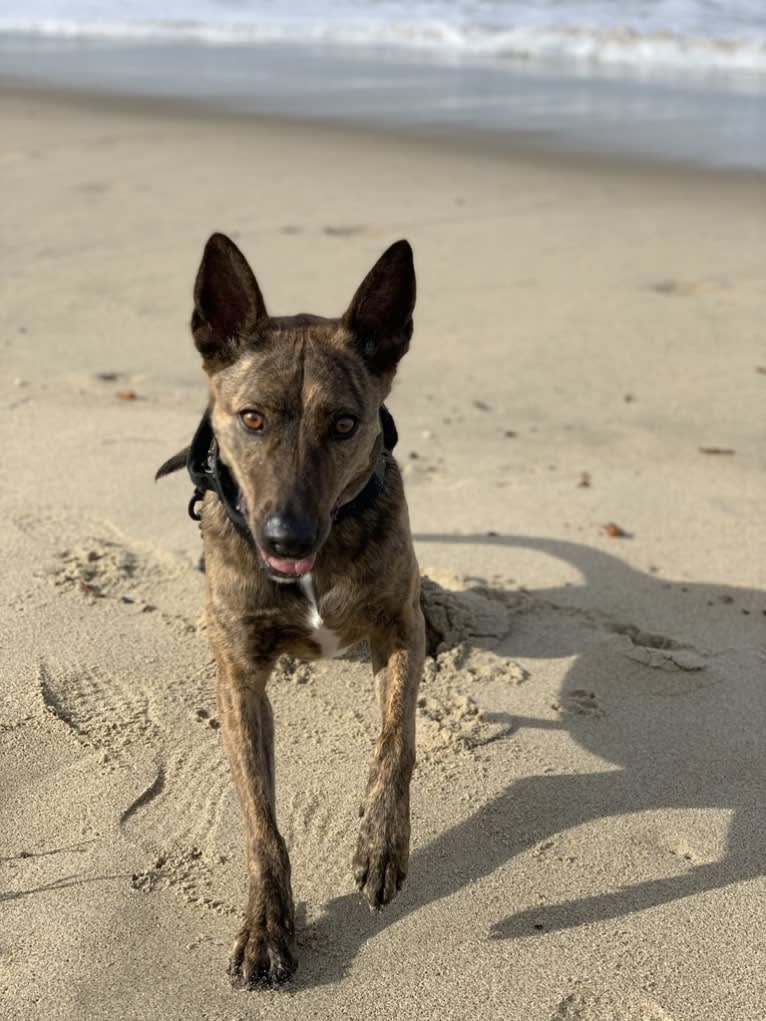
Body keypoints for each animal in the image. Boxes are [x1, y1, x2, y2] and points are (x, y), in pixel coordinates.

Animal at [157, 233, 426, 988]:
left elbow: (395, 740)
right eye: (252, 419)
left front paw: (380, 843)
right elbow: (260, 821)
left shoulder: (401, 630)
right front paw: (266, 925)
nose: (286, 539)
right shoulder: (240, 680)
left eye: (344, 424)